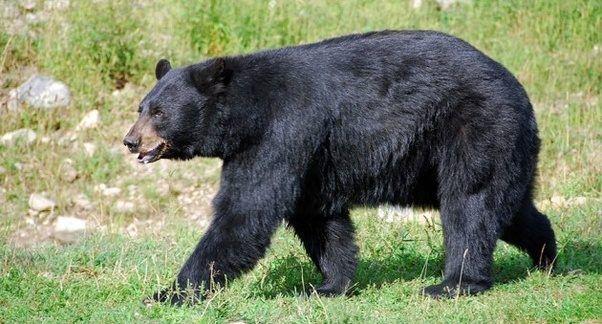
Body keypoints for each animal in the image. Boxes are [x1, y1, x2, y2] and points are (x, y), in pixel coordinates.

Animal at [124, 29, 556, 304]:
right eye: (141, 107)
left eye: (160, 113)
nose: (131, 141)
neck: (247, 115)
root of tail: (518, 88)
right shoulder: (309, 157)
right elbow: (319, 218)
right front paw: (330, 285)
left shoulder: (282, 132)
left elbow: (246, 213)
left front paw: (167, 294)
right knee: (508, 206)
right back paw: (546, 255)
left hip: (476, 126)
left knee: (469, 201)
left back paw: (454, 284)